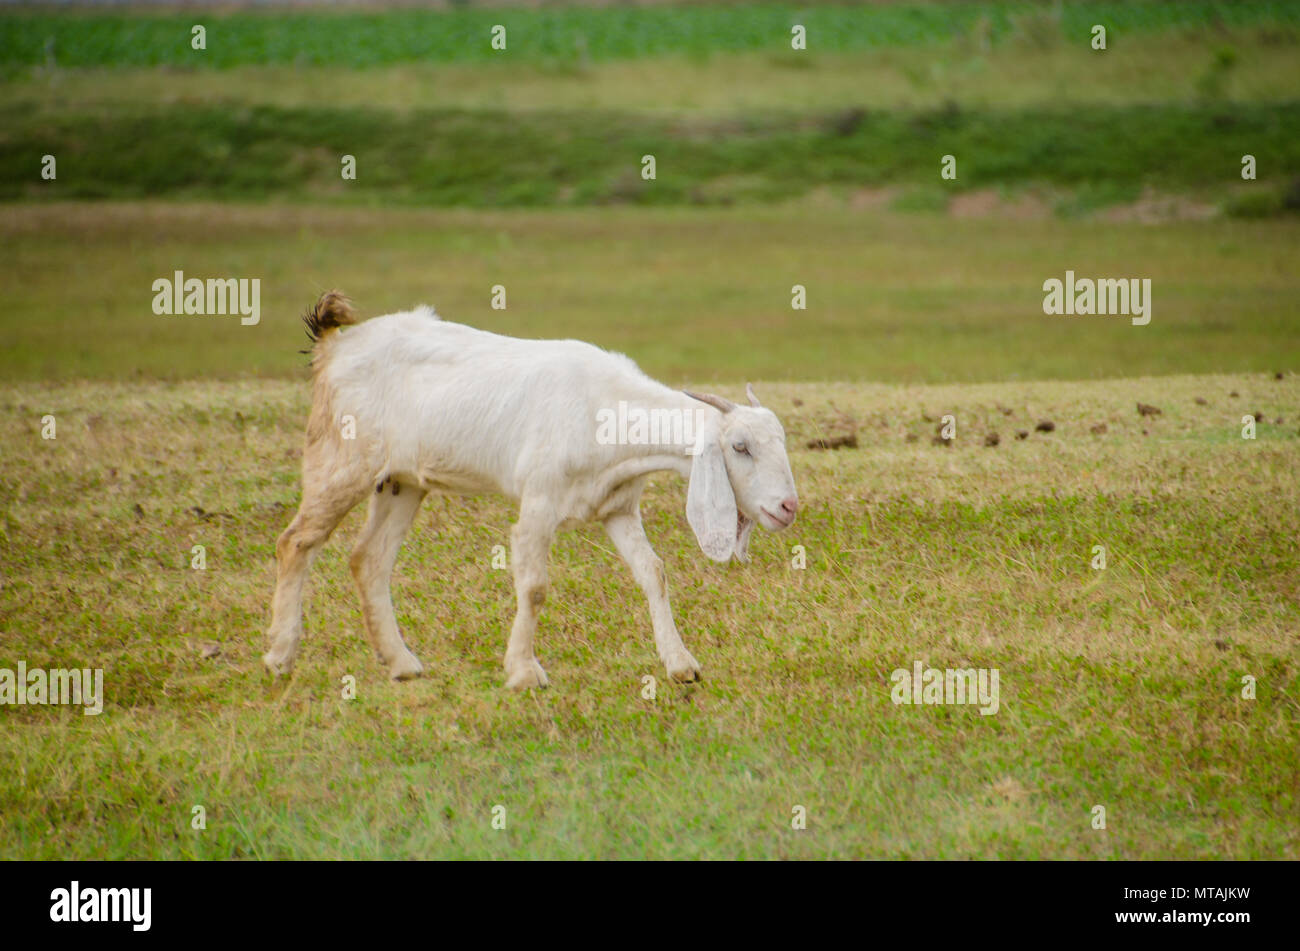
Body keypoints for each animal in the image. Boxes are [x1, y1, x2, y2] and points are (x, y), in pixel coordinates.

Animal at [263, 291, 799, 689]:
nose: (788, 506)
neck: (607, 410)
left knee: (368, 559)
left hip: (402, 482)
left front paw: (680, 664)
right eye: (740, 447)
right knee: (296, 542)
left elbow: (654, 573)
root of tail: (335, 344)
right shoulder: (540, 502)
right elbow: (536, 586)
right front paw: (523, 672)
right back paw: (279, 656)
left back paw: (401, 662)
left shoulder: (618, 507)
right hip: (341, 460)